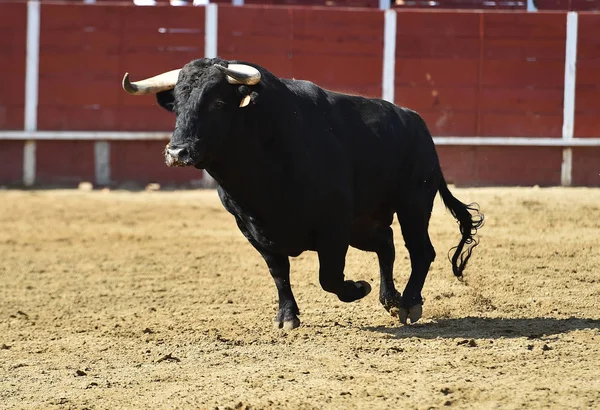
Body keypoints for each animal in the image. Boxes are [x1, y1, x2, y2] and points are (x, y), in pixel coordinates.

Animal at [120, 57, 482, 328]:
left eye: (219, 102)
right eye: (177, 105)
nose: (177, 152)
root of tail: (417, 122)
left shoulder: (333, 225)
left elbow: (329, 276)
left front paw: (357, 287)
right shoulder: (250, 226)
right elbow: (279, 272)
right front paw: (287, 317)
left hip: (413, 204)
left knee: (421, 250)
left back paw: (408, 303)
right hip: (363, 223)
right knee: (386, 243)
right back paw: (389, 299)